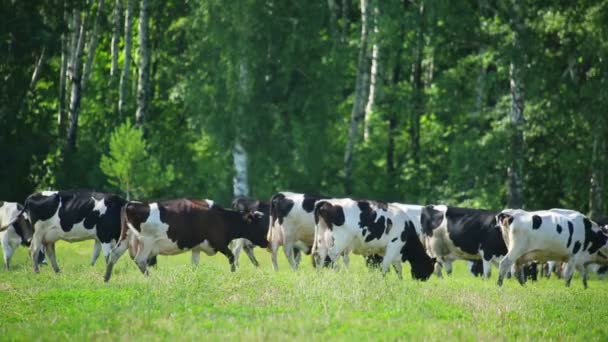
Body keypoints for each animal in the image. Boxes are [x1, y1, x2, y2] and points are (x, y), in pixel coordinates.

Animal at [103, 198, 268, 280]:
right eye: (260, 224)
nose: (267, 242)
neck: (222, 218)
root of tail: (133, 203)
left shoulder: (196, 248)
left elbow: (194, 265)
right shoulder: (219, 243)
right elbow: (232, 257)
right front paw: (233, 275)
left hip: (125, 238)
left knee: (114, 255)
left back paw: (106, 279)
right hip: (147, 242)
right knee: (140, 260)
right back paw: (151, 279)